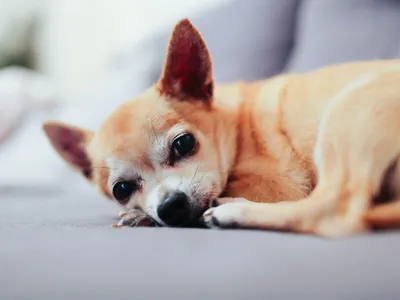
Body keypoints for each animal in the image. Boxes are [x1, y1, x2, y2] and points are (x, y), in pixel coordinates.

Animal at [43, 18, 400, 237]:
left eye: (184, 144)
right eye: (121, 190)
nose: (170, 207)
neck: (236, 125)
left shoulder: (278, 186)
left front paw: (141, 216)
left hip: (349, 108)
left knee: (332, 210)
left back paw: (233, 211)